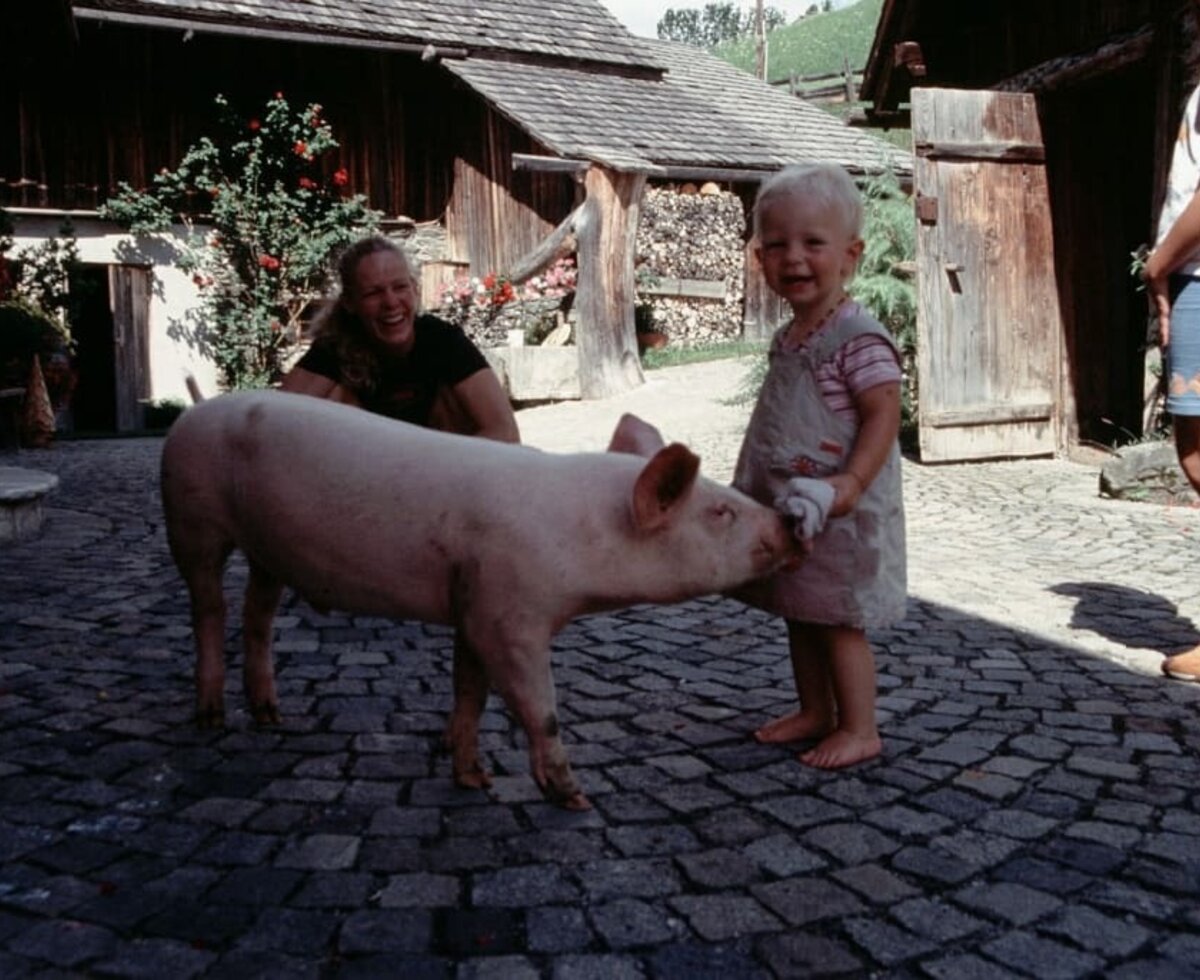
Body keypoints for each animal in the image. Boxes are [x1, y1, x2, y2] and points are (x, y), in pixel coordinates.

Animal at [159, 391, 796, 810]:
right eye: (720, 511)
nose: (788, 522)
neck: (584, 530)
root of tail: (194, 410)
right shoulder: (509, 611)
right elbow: (540, 706)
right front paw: (574, 799)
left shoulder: (473, 603)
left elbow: (471, 692)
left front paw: (474, 780)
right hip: (191, 519)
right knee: (208, 609)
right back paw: (210, 716)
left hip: (266, 550)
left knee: (257, 613)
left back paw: (270, 714)